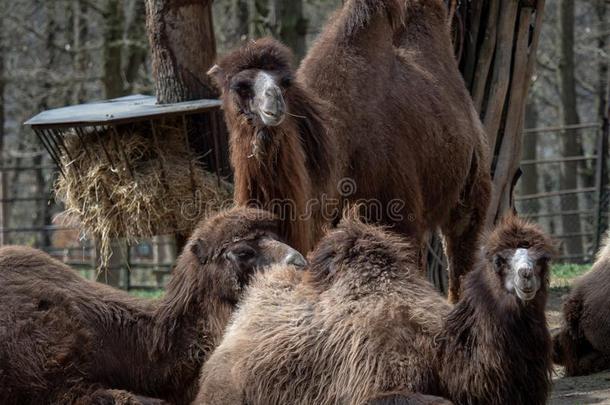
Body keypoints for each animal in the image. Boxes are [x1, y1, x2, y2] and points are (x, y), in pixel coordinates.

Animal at [208, 0, 490, 302]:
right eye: (240, 86)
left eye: (285, 82)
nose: (274, 101)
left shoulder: (396, 216)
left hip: (471, 187)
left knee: (461, 250)